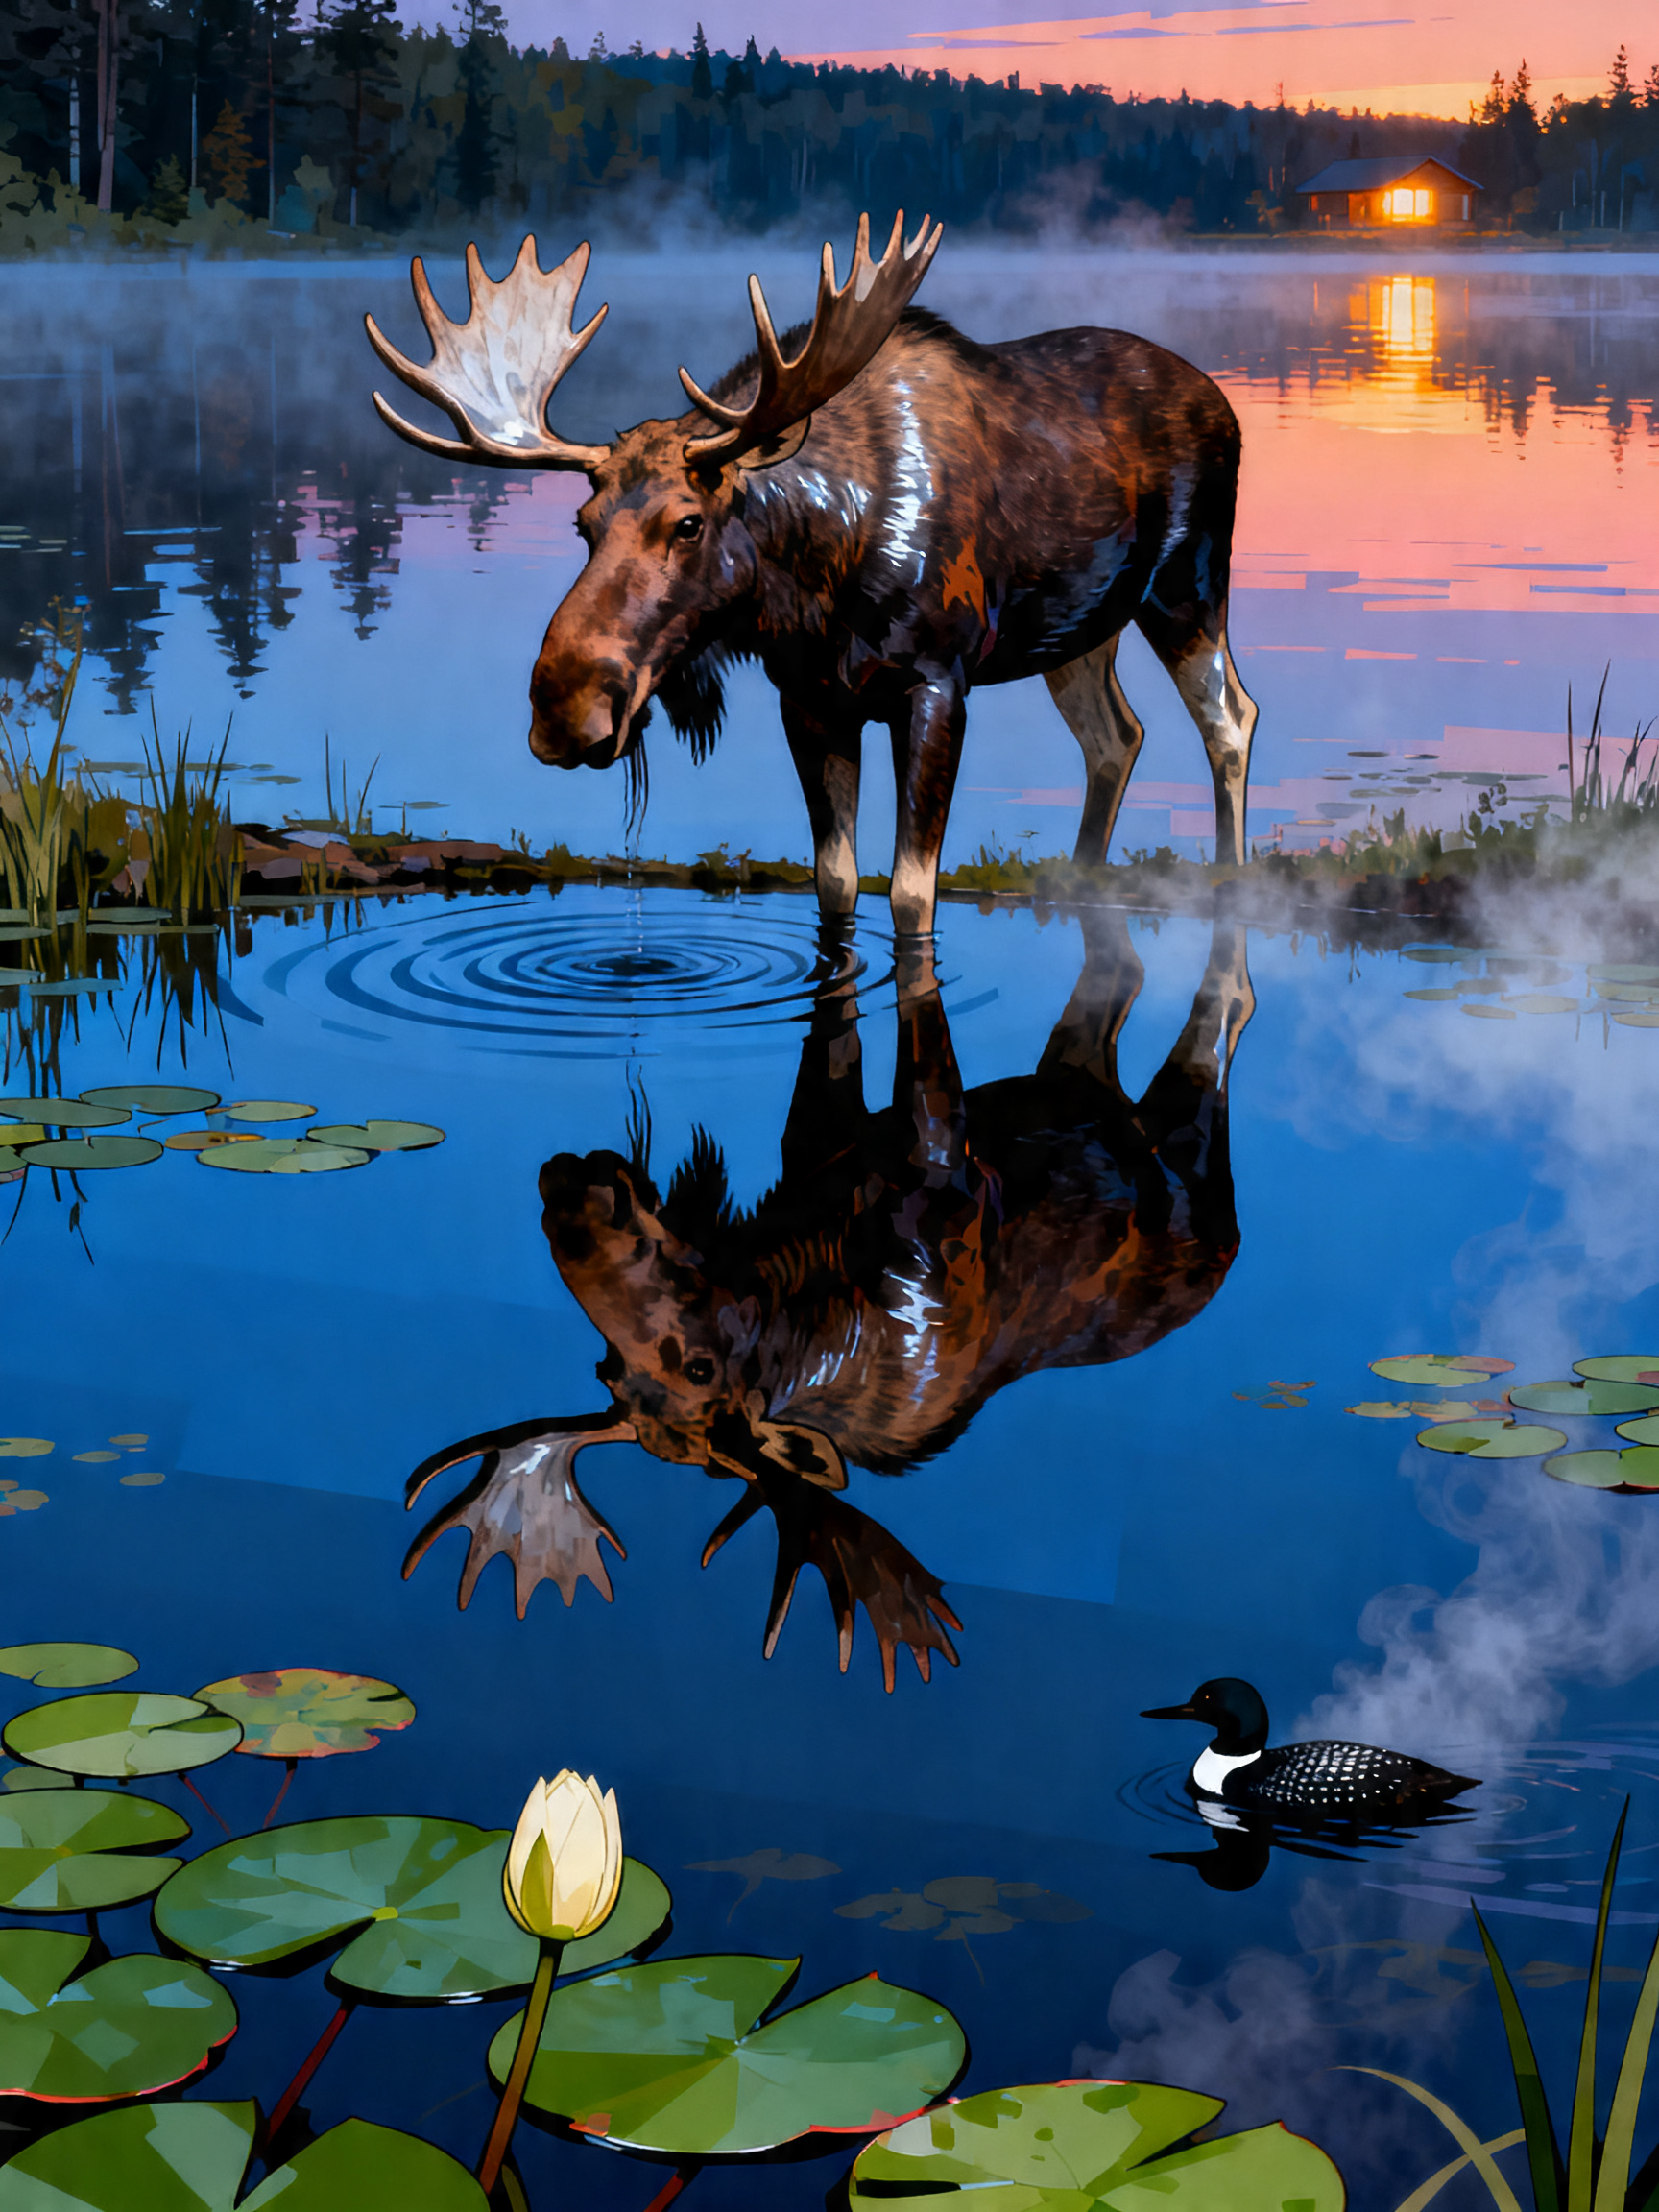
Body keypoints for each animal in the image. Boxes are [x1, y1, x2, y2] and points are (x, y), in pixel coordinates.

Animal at [365, 218, 1258, 937]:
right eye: (583, 525)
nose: (563, 704)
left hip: (1188, 583)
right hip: (1078, 628)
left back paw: (1231, 878)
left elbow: (912, 893)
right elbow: (836, 882)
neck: (820, 581)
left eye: (688, 522)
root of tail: (1220, 400)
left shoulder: (938, 681)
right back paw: (1082, 876)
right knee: (1117, 735)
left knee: (1229, 716)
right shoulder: (808, 698)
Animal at [403, 915, 1254, 1687]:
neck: (821, 1262)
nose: (580, 1192)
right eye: (609, 1370)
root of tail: (1223, 1255)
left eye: (703, 1369)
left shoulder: (923, 1166)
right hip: (1149, 1132)